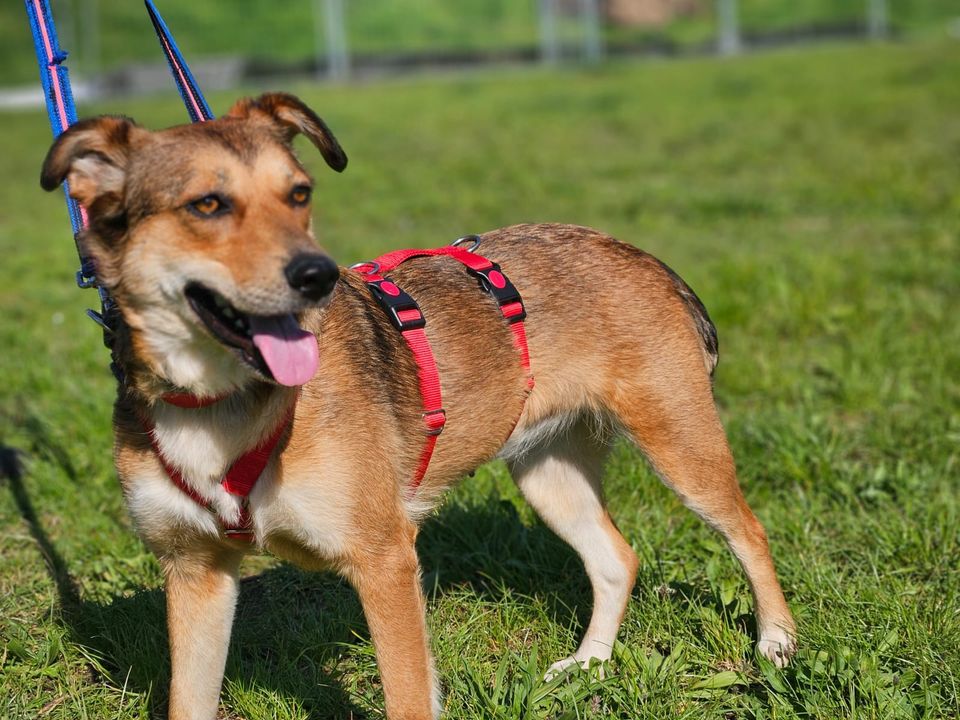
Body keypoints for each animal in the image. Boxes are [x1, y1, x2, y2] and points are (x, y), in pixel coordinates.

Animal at [39, 94, 796, 720]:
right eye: (206, 205)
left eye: (299, 194)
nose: (318, 276)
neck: (217, 400)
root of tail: (642, 256)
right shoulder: (196, 575)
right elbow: (188, 700)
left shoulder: (384, 562)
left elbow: (407, 695)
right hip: (546, 472)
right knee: (616, 559)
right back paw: (589, 665)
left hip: (680, 444)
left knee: (749, 530)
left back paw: (777, 645)